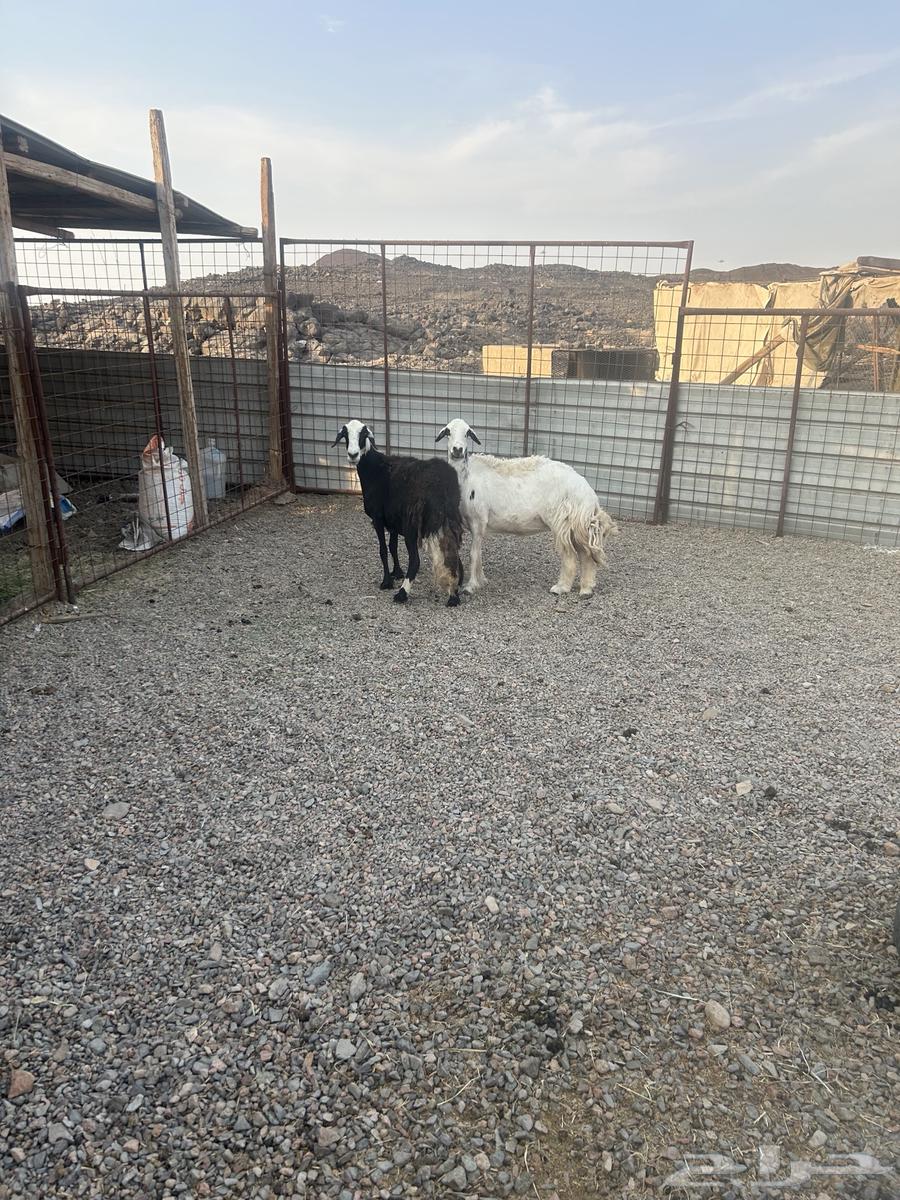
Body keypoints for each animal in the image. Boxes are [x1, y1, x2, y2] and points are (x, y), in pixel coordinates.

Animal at [332, 419, 464, 606]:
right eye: (345, 435)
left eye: (363, 434)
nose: (353, 454)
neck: (374, 468)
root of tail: (443, 481)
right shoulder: (393, 521)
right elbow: (392, 546)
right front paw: (397, 572)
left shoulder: (378, 518)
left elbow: (382, 549)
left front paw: (387, 581)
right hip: (449, 517)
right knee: (453, 552)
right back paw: (454, 593)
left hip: (412, 525)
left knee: (415, 560)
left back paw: (402, 594)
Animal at [435, 418, 618, 596]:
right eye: (448, 432)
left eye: (467, 433)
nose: (457, 450)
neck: (466, 476)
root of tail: (588, 493)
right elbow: (478, 554)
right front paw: (482, 580)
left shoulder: (478, 519)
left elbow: (474, 554)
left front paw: (471, 586)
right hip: (576, 523)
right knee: (586, 554)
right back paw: (586, 589)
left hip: (561, 521)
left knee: (570, 556)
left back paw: (561, 588)